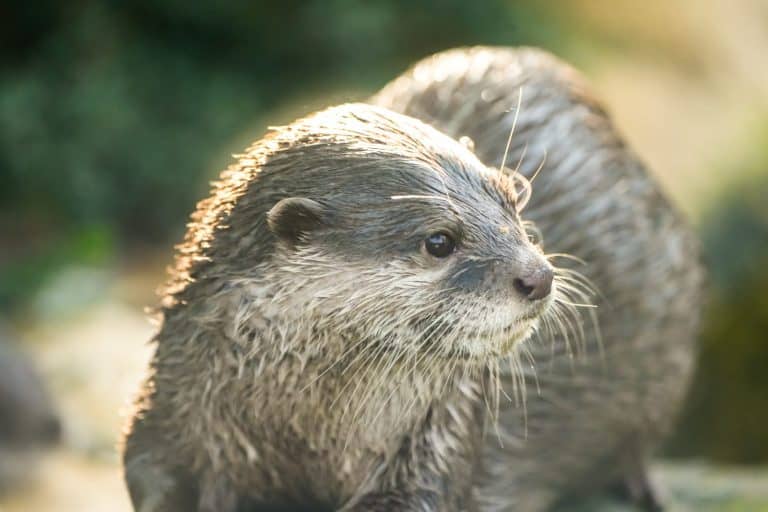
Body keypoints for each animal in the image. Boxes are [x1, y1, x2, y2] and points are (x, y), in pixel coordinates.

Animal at [123, 103, 564, 511]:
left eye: (513, 202)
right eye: (439, 241)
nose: (539, 277)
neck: (303, 426)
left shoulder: (444, 426)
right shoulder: (173, 401)